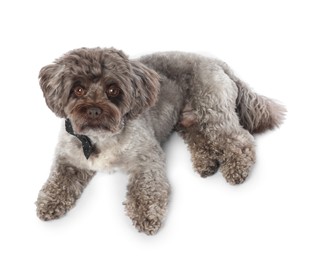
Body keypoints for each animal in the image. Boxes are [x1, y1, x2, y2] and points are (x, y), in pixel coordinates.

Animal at [34, 47, 284, 236]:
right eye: (77, 89)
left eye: (113, 89)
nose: (94, 110)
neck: (99, 138)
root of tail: (216, 61)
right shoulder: (68, 158)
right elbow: (58, 180)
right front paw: (49, 202)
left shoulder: (147, 156)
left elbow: (147, 188)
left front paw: (146, 214)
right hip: (188, 119)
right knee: (200, 138)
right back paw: (206, 163)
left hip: (212, 109)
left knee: (239, 139)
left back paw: (237, 169)